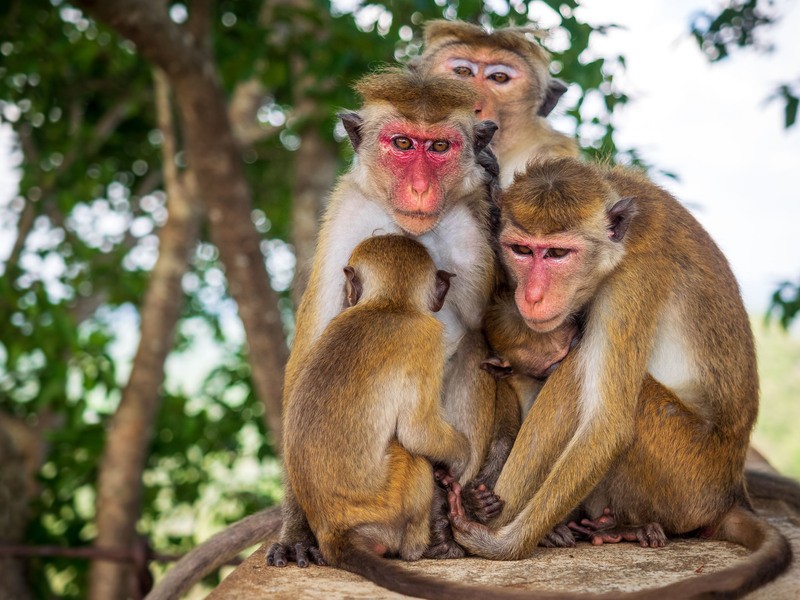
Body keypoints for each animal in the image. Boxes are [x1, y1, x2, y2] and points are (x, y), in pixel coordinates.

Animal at [444, 157, 792, 596]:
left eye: (557, 253)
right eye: (522, 250)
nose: (533, 296)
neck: (618, 245)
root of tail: (730, 495)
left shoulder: (635, 278)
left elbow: (608, 424)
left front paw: (502, 545)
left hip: (689, 478)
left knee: (587, 376)